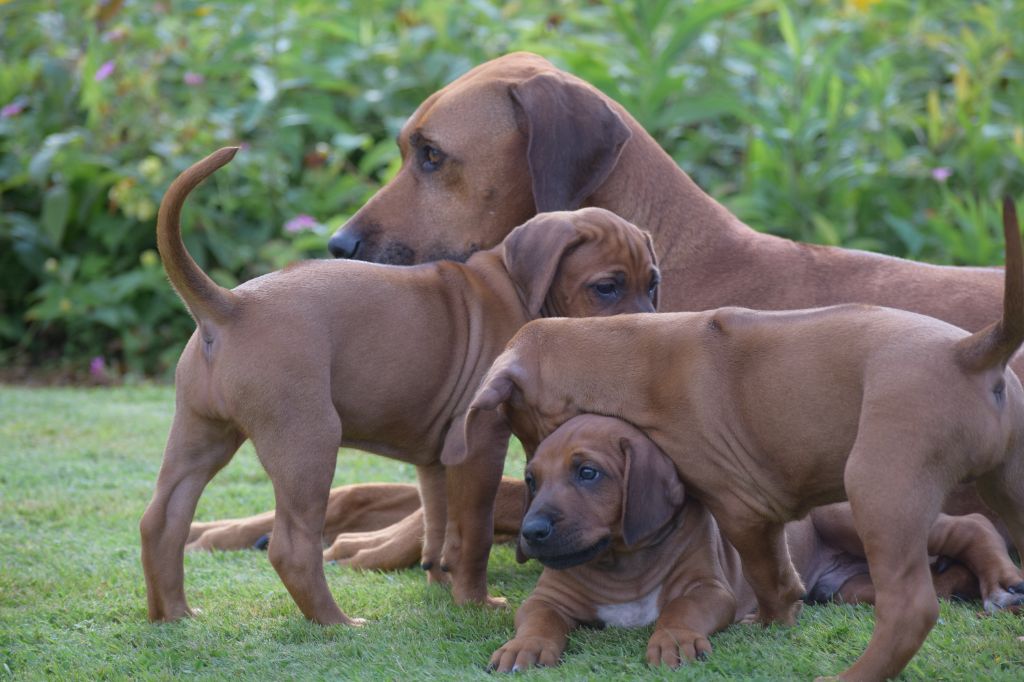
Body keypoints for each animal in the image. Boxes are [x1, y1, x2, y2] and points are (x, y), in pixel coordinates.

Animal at [140, 146, 659, 622]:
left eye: (653, 284)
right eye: (606, 287)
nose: (653, 328)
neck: (519, 291)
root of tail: (230, 306)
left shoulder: (439, 457)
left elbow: (438, 523)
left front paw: (440, 583)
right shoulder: (479, 442)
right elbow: (474, 531)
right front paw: (475, 602)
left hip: (200, 434)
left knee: (161, 522)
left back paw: (174, 614)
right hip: (306, 442)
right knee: (291, 547)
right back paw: (336, 622)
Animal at [462, 197, 1024, 679]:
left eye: (584, 471)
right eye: (532, 474)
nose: (533, 522)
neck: (627, 356)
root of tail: (969, 351)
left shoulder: (742, 510)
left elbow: (772, 579)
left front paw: (769, 623)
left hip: (879, 490)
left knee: (912, 605)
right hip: (1004, 485)